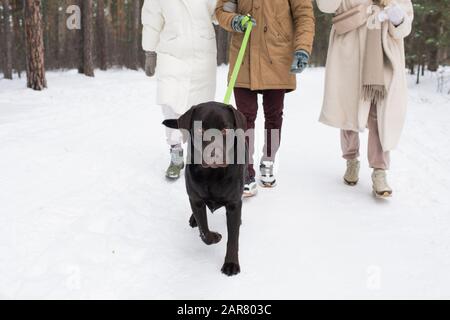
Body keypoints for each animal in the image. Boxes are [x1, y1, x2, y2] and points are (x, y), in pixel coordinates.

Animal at [163, 102, 246, 276]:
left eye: (225, 129)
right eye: (200, 130)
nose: (214, 155)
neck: (212, 175)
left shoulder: (234, 204)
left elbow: (233, 238)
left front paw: (231, 263)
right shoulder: (196, 199)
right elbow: (204, 231)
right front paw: (214, 236)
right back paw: (193, 219)